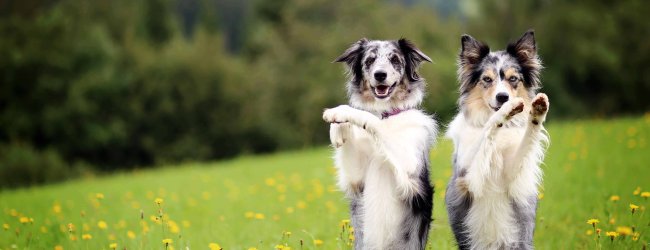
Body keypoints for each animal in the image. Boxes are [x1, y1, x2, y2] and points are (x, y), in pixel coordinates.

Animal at [320, 38, 436, 249]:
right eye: (370, 60)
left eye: (395, 59)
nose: (380, 74)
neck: (386, 113)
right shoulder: (357, 179)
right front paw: (338, 130)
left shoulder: (410, 170)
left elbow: (371, 119)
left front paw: (339, 111)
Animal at [440, 30, 548, 249]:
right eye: (487, 79)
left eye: (513, 78)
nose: (503, 97)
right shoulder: (469, 178)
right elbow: (488, 130)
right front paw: (505, 111)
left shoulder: (512, 172)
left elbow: (527, 140)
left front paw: (537, 111)